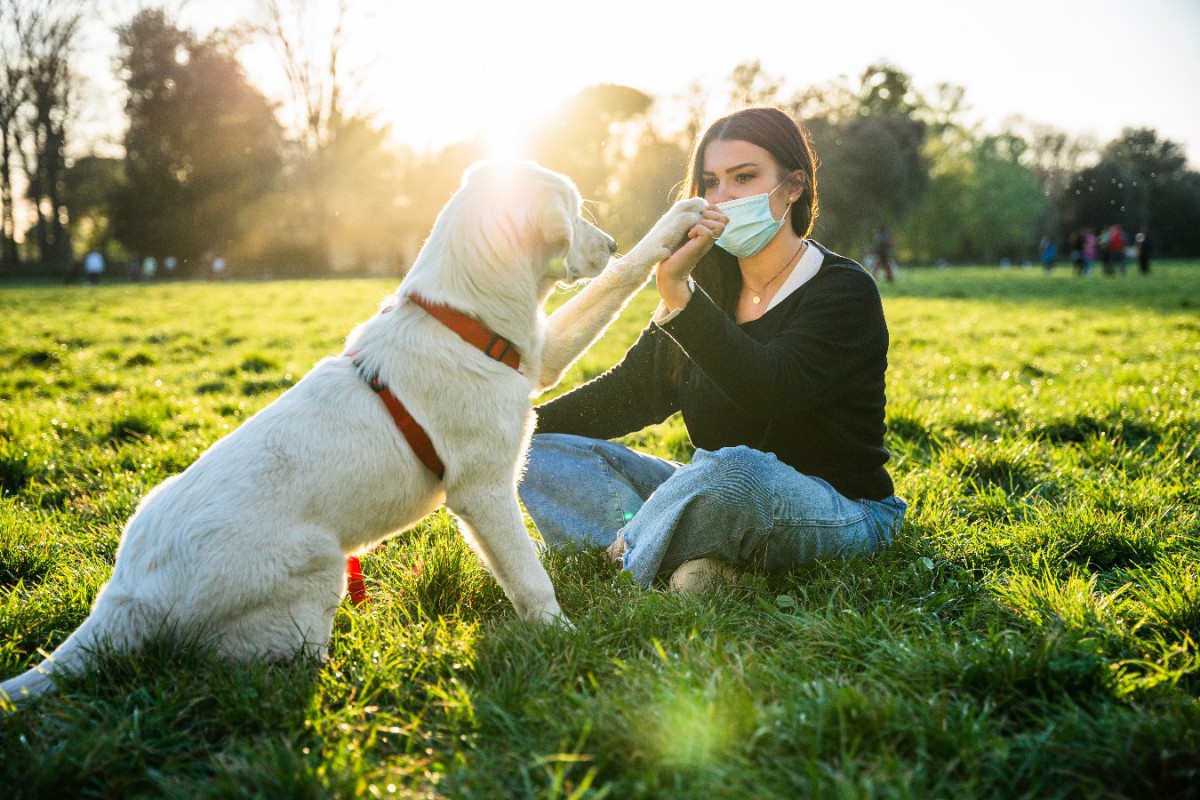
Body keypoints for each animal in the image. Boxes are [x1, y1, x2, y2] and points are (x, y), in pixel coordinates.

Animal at [0, 159, 705, 705]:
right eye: (576, 210)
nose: (609, 240)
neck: (462, 317)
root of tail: (124, 594)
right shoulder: (481, 490)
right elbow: (532, 579)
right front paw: (565, 640)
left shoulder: (543, 357)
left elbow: (616, 285)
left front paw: (676, 228)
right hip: (314, 566)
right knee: (239, 673)